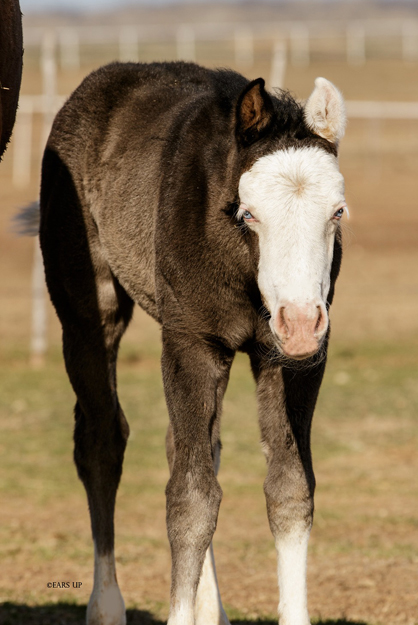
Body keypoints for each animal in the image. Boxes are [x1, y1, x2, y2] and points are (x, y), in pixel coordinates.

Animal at [39, 59, 346, 624]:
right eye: (248, 213)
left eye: (337, 212)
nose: (299, 322)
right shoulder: (192, 342)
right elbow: (191, 499)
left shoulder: (292, 362)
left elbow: (290, 488)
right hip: (89, 317)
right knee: (101, 442)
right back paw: (106, 605)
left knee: (190, 446)